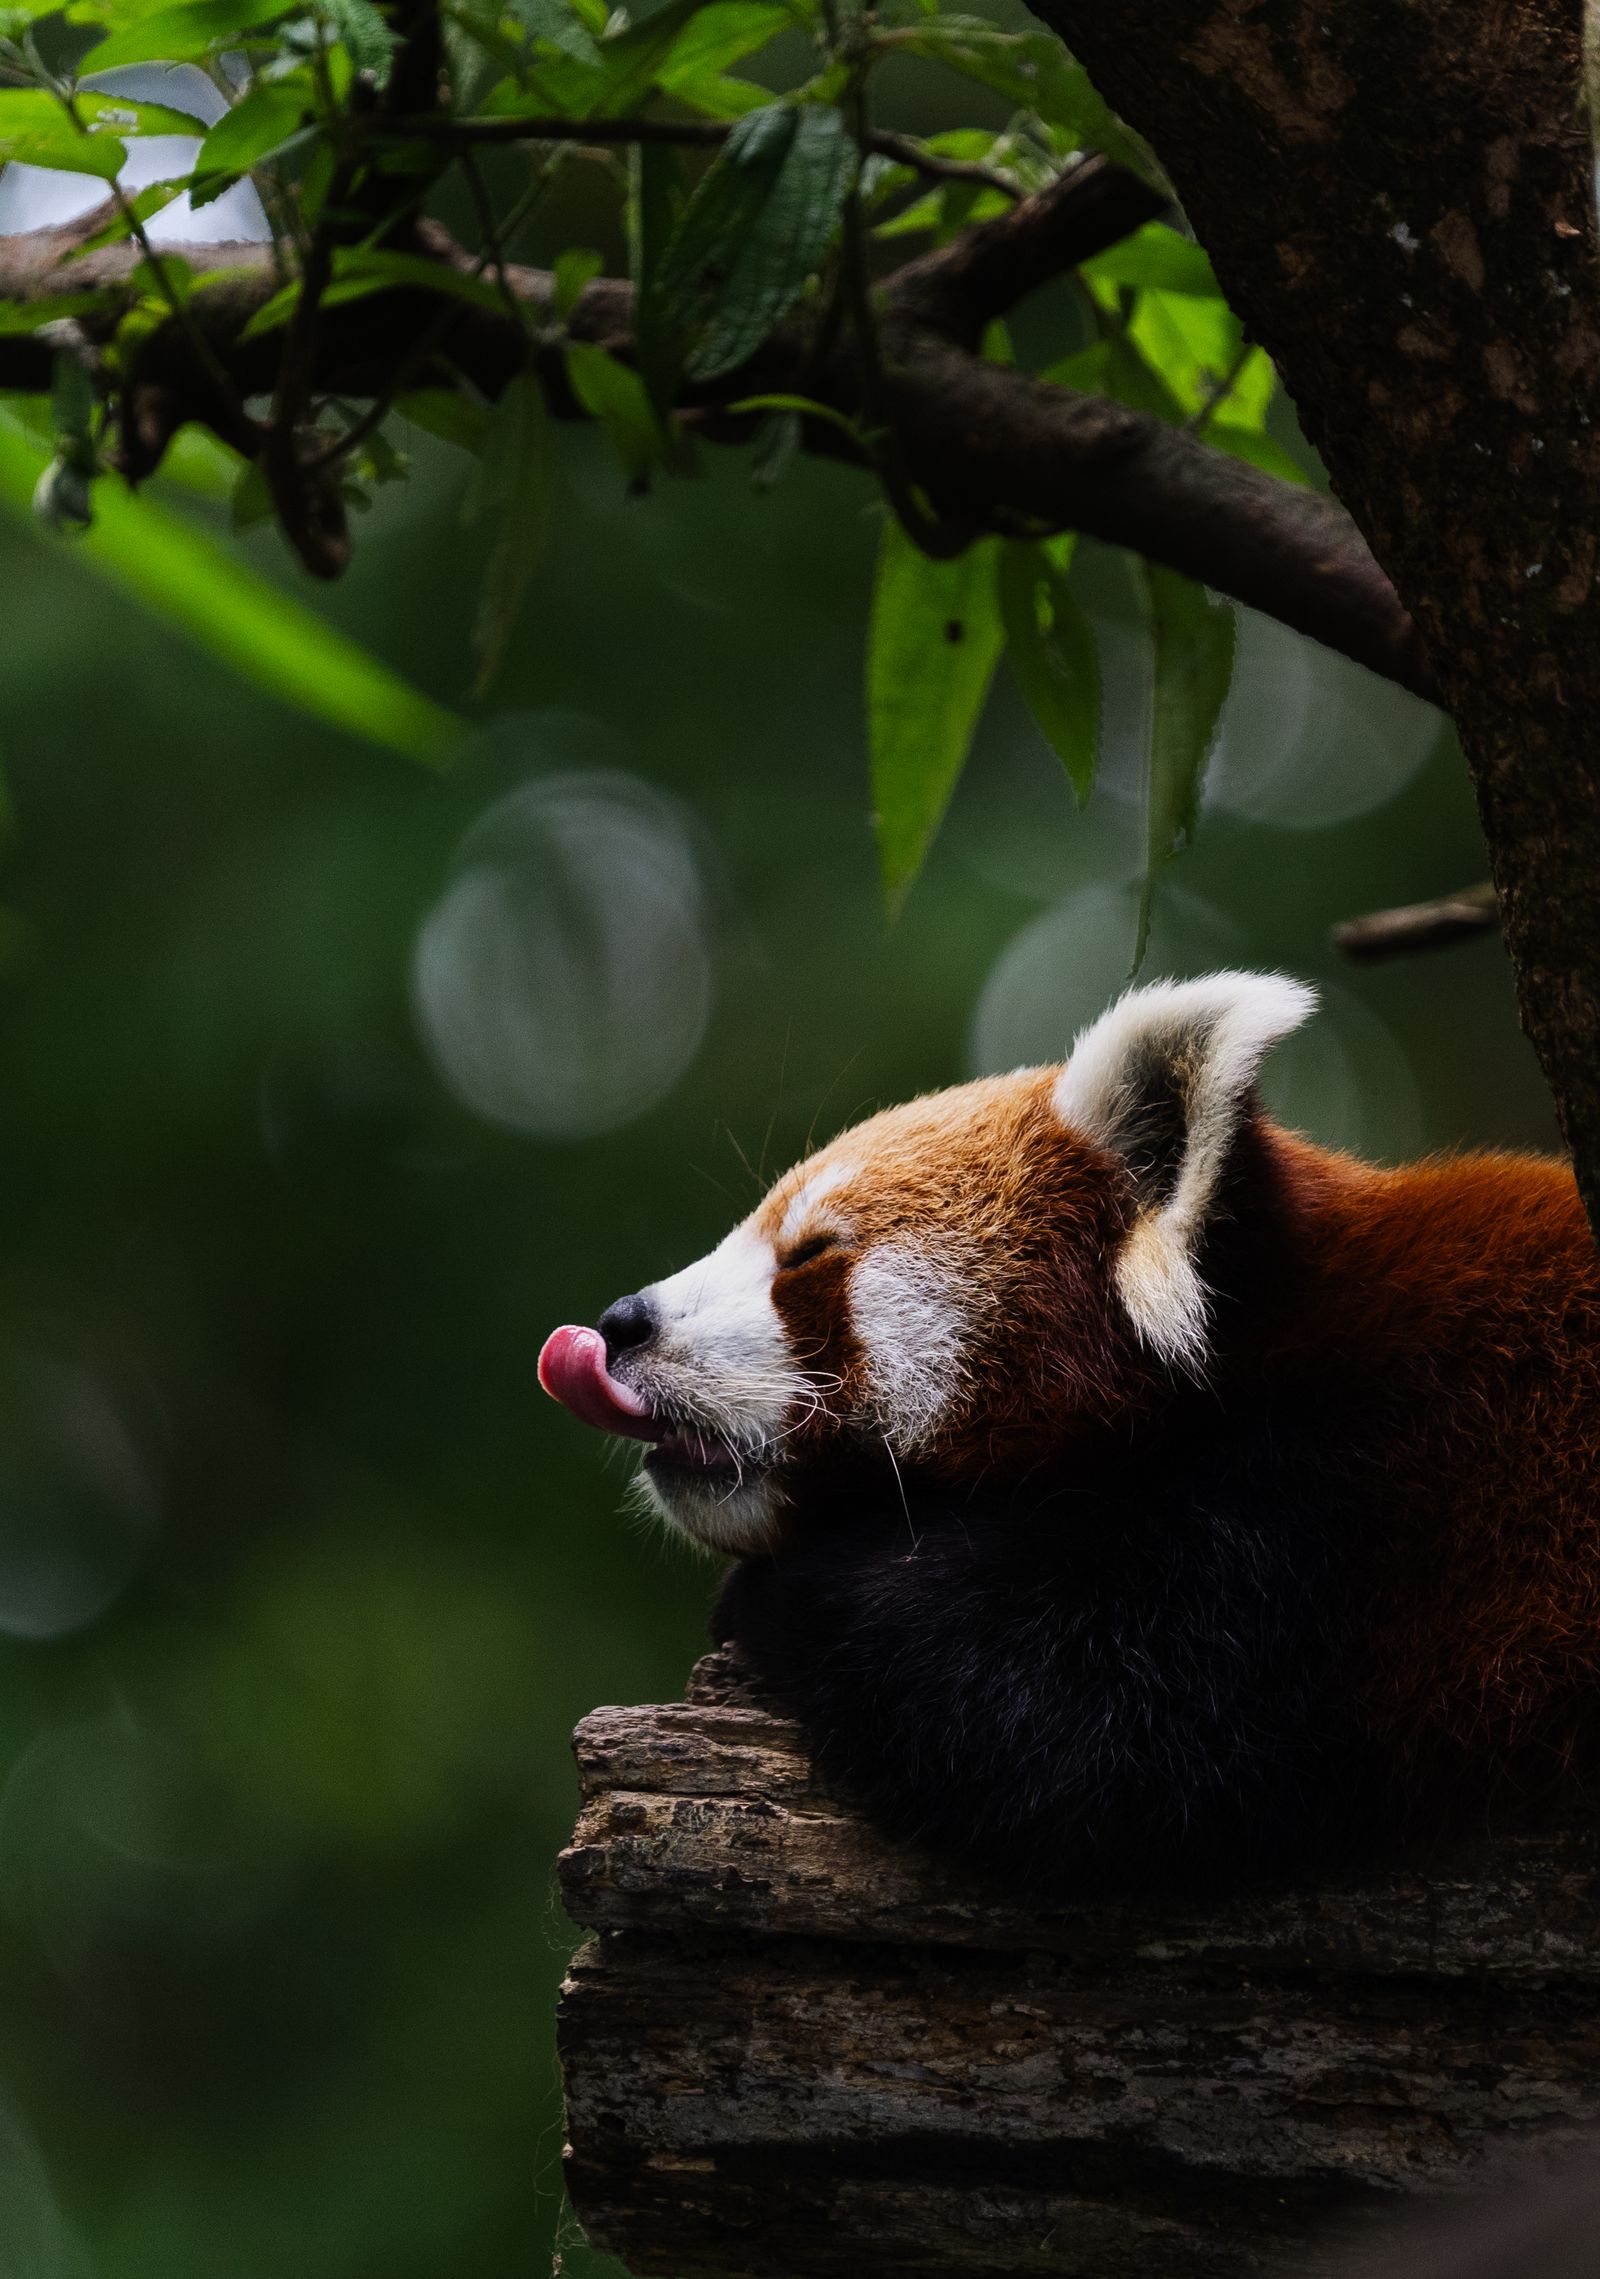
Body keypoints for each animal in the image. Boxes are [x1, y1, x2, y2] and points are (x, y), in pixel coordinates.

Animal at [539, 973, 1600, 1891]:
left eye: (809, 1255)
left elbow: (1089, 1736)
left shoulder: (1344, 1502)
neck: (1260, 1341)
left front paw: (780, 1593)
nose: (621, 1324)